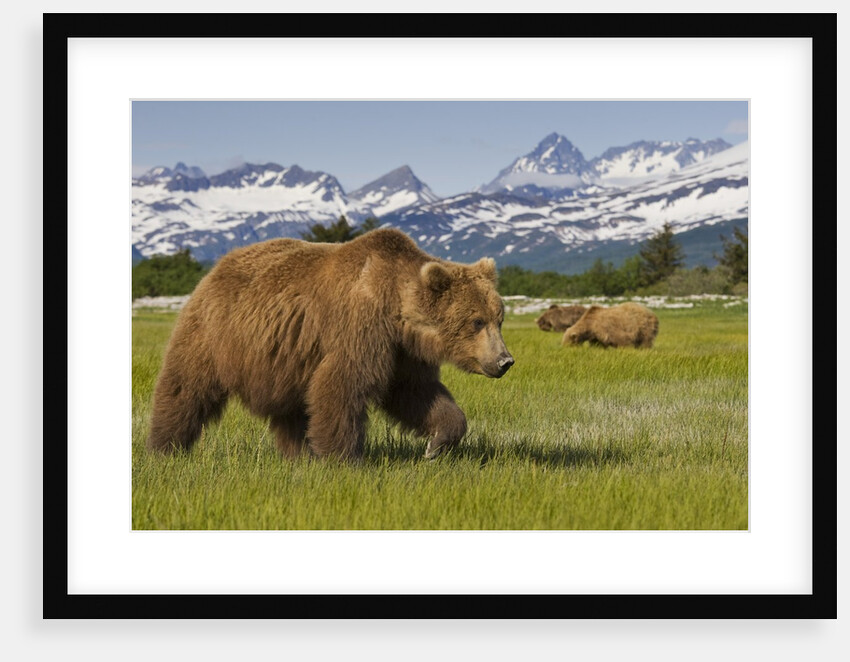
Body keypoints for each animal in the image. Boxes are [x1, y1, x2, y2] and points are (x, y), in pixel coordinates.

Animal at [147, 228, 514, 461]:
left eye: (499, 318)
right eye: (476, 321)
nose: (504, 360)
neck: (395, 309)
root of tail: (217, 266)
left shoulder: (402, 352)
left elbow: (415, 393)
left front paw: (437, 445)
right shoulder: (359, 328)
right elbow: (343, 385)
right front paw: (343, 459)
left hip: (285, 358)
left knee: (291, 409)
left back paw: (299, 454)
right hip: (214, 332)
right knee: (186, 385)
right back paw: (165, 448)